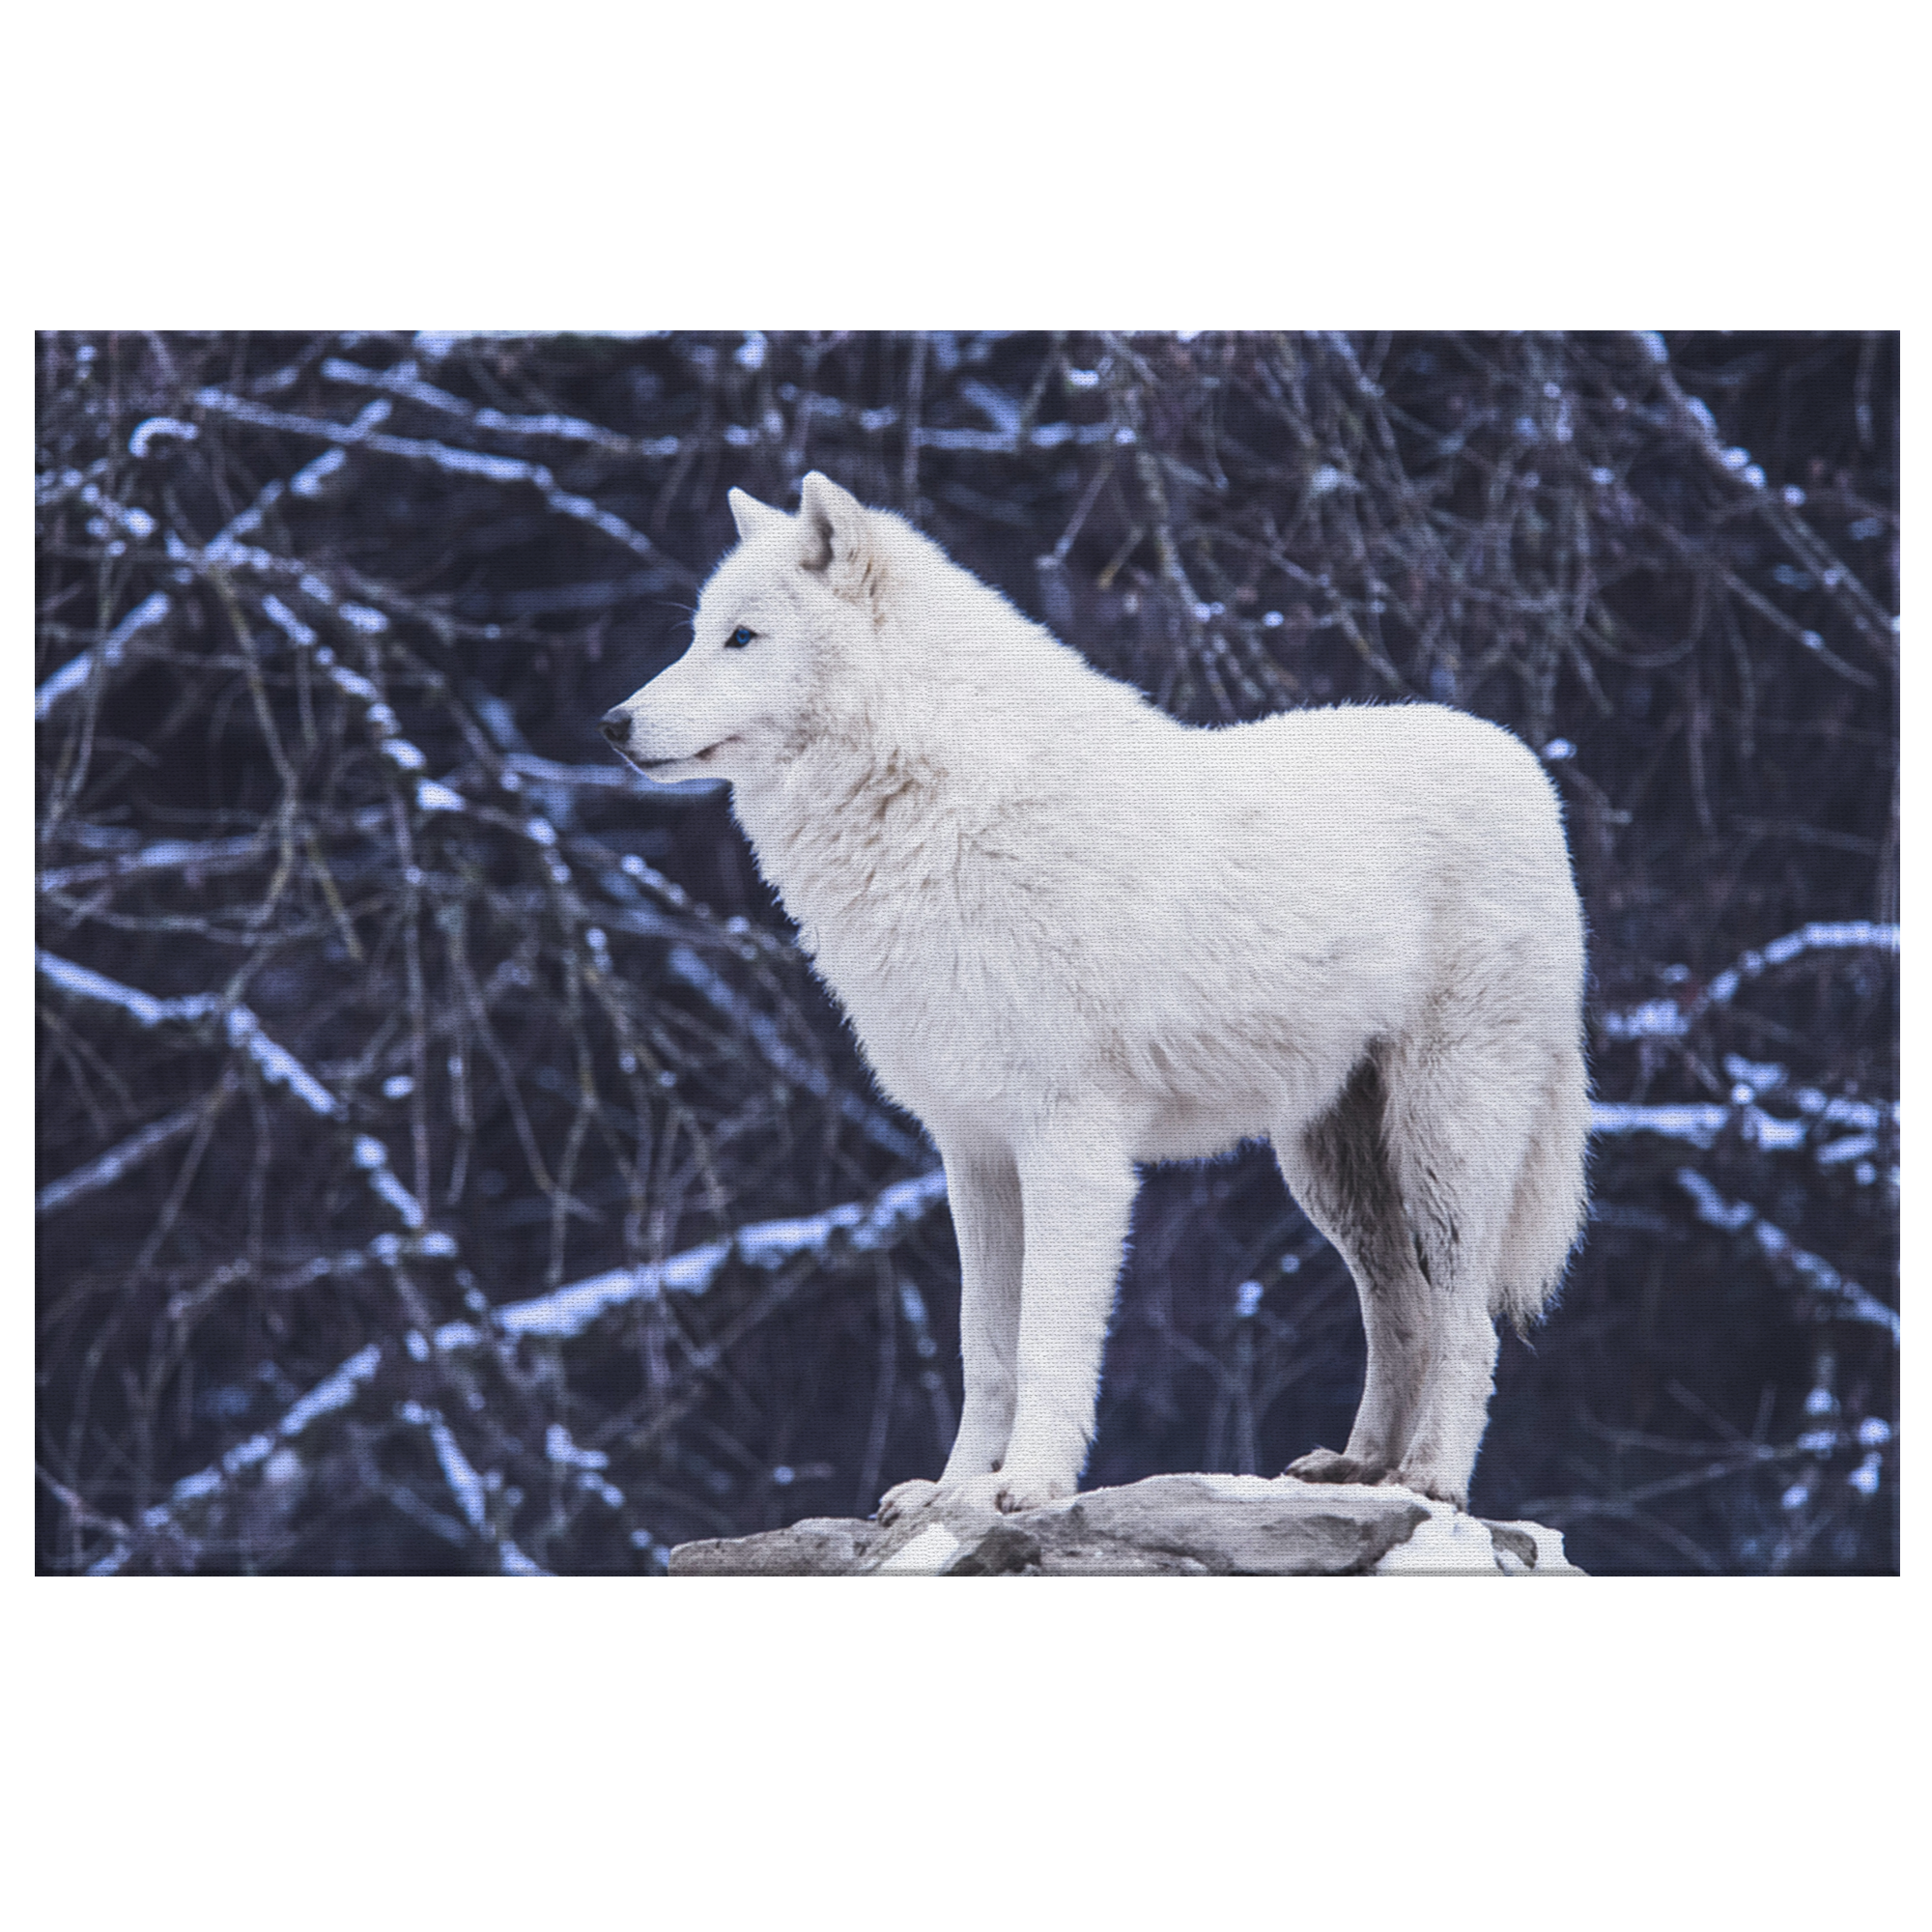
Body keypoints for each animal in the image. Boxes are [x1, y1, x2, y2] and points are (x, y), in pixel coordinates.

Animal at [600, 473, 1589, 1517]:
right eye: (698, 633)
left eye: (741, 637)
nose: (611, 724)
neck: (940, 807)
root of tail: (1522, 762)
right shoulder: (972, 1151)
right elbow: (984, 1347)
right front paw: (950, 1490)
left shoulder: (1069, 1145)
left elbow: (1044, 1340)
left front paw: (1027, 1485)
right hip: (1328, 1167)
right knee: (1397, 1310)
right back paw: (1357, 1469)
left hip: (1444, 1142)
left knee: (1465, 1321)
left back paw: (1431, 1477)